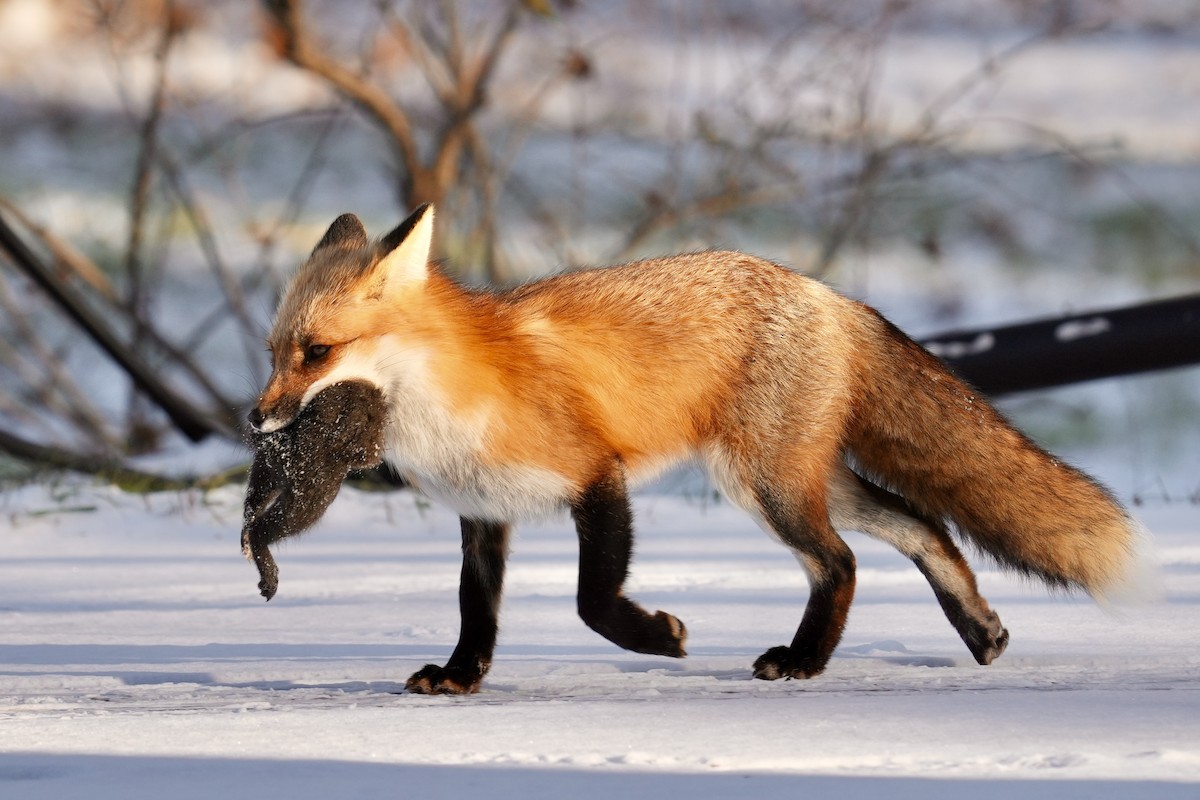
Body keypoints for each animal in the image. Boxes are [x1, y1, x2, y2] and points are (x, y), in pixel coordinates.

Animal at [249, 203, 1143, 695]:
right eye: (272, 353)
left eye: (316, 354)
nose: (255, 422)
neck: (448, 397)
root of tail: (829, 294)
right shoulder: (484, 513)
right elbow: (477, 612)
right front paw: (460, 679)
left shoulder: (596, 475)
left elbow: (592, 602)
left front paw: (659, 638)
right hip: (797, 478)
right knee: (919, 524)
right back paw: (980, 631)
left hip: (765, 485)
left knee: (843, 561)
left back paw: (805, 660)